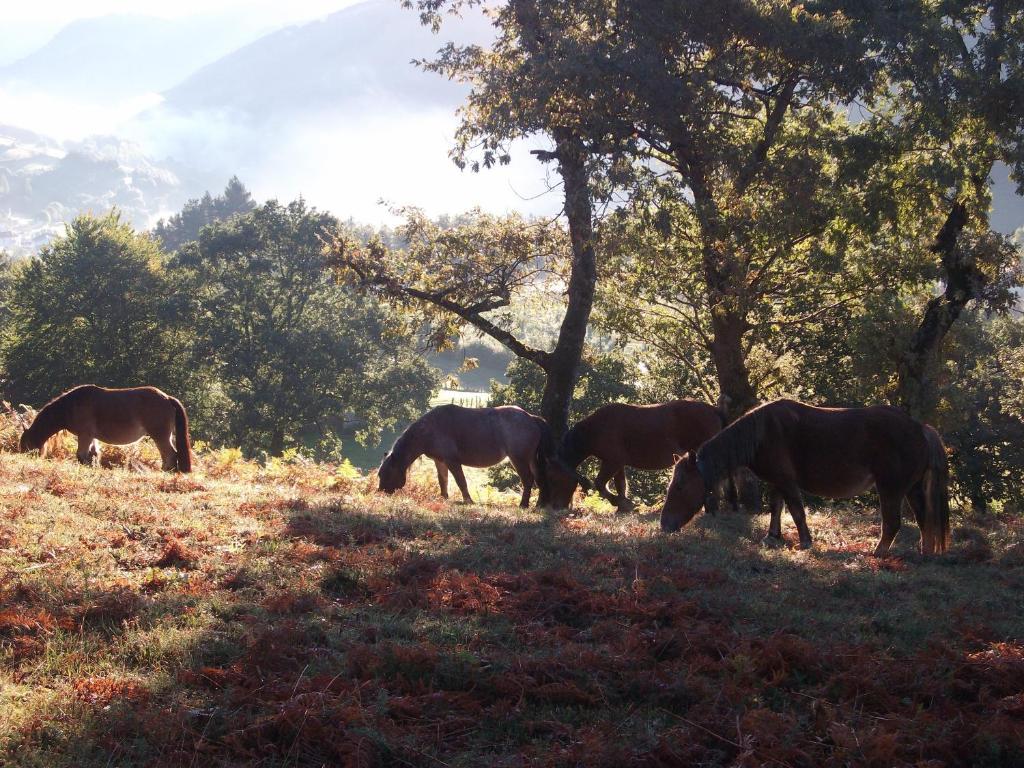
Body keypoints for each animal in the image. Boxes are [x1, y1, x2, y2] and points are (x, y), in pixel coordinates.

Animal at [376, 405, 557, 507]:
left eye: (385, 473)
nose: (380, 493)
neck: (430, 429)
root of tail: (531, 418)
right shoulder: (440, 461)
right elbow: (443, 481)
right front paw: (443, 498)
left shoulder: (452, 461)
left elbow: (460, 481)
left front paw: (468, 501)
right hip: (531, 459)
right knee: (540, 478)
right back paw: (539, 504)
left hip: (519, 459)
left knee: (528, 480)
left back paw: (523, 505)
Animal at [544, 399, 729, 514]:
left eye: (554, 479)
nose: (554, 507)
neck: (595, 428)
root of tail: (714, 410)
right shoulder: (617, 464)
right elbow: (620, 485)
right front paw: (623, 506)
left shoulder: (612, 462)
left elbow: (600, 484)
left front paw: (622, 503)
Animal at [659, 399, 946, 557]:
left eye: (680, 486)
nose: (665, 525)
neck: (761, 434)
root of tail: (920, 428)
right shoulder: (777, 481)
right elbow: (776, 508)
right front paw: (772, 536)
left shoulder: (787, 481)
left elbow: (796, 511)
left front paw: (806, 542)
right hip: (912, 489)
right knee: (924, 519)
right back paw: (925, 552)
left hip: (891, 489)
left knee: (893, 523)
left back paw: (878, 553)